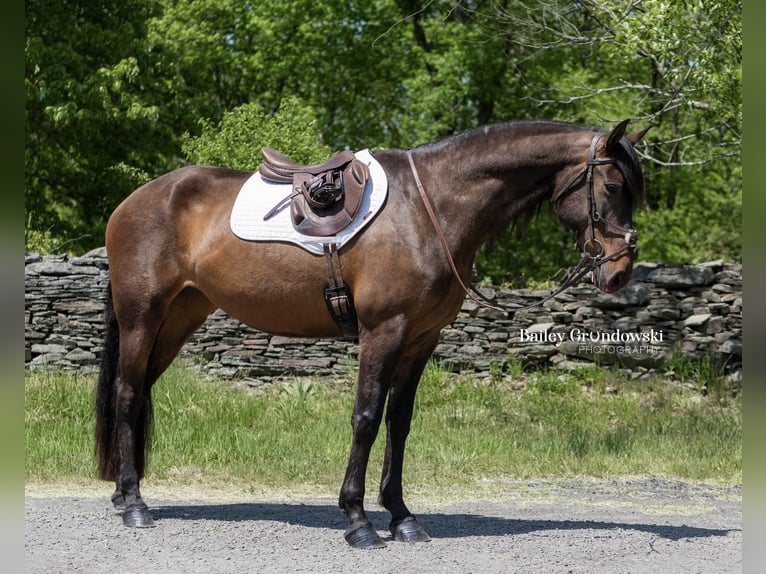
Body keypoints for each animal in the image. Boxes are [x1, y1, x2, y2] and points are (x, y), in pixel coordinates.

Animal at [94, 119, 648, 552]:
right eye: (613, 186)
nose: (620, 271)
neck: (431, 207)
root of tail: (132, 203)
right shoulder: (383, 331)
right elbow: (365, 418)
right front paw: (358, 521)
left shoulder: (422, 338)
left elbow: (398, 423)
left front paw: (402, 517)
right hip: (142, 317)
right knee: (127, 394)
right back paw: (135, 504)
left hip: (178, 319)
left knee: (138, 393)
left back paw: (124, 492)